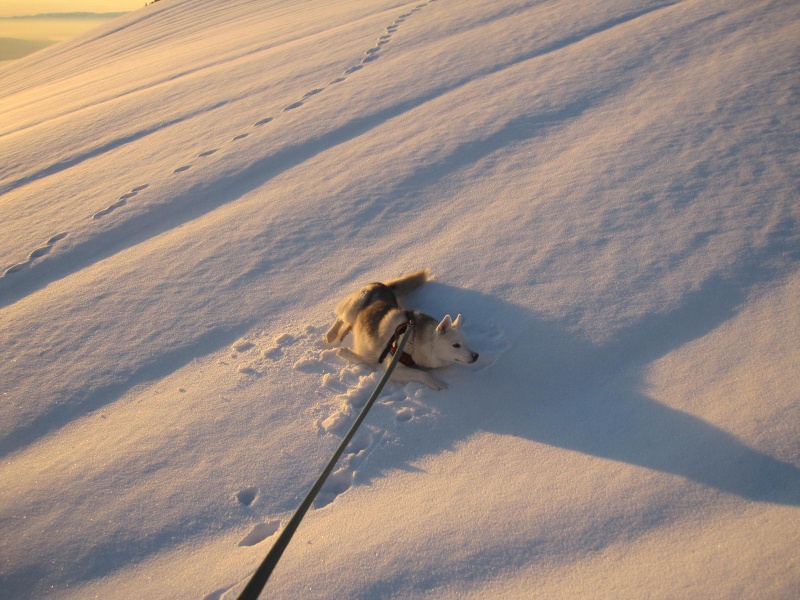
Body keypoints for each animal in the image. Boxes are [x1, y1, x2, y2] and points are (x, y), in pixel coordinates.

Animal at [324, 268, 478, 390]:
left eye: (466, 344)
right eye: (456, 345)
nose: (476, 355)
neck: (414, 339)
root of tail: (383, 285)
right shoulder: (393, 368)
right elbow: (422, 373)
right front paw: (435, 382)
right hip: (352, 311)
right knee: (340, 318)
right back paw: (331, 335)